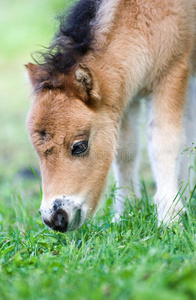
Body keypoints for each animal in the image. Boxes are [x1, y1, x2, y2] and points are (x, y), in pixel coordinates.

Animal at [26, 0, 196, 232]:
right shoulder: (124, 94)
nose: (55, 218)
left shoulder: (172, 73)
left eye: (79, 146)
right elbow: (126, 149)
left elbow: (164, 141)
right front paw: (125, 213)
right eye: (37, 150)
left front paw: (169, 218)